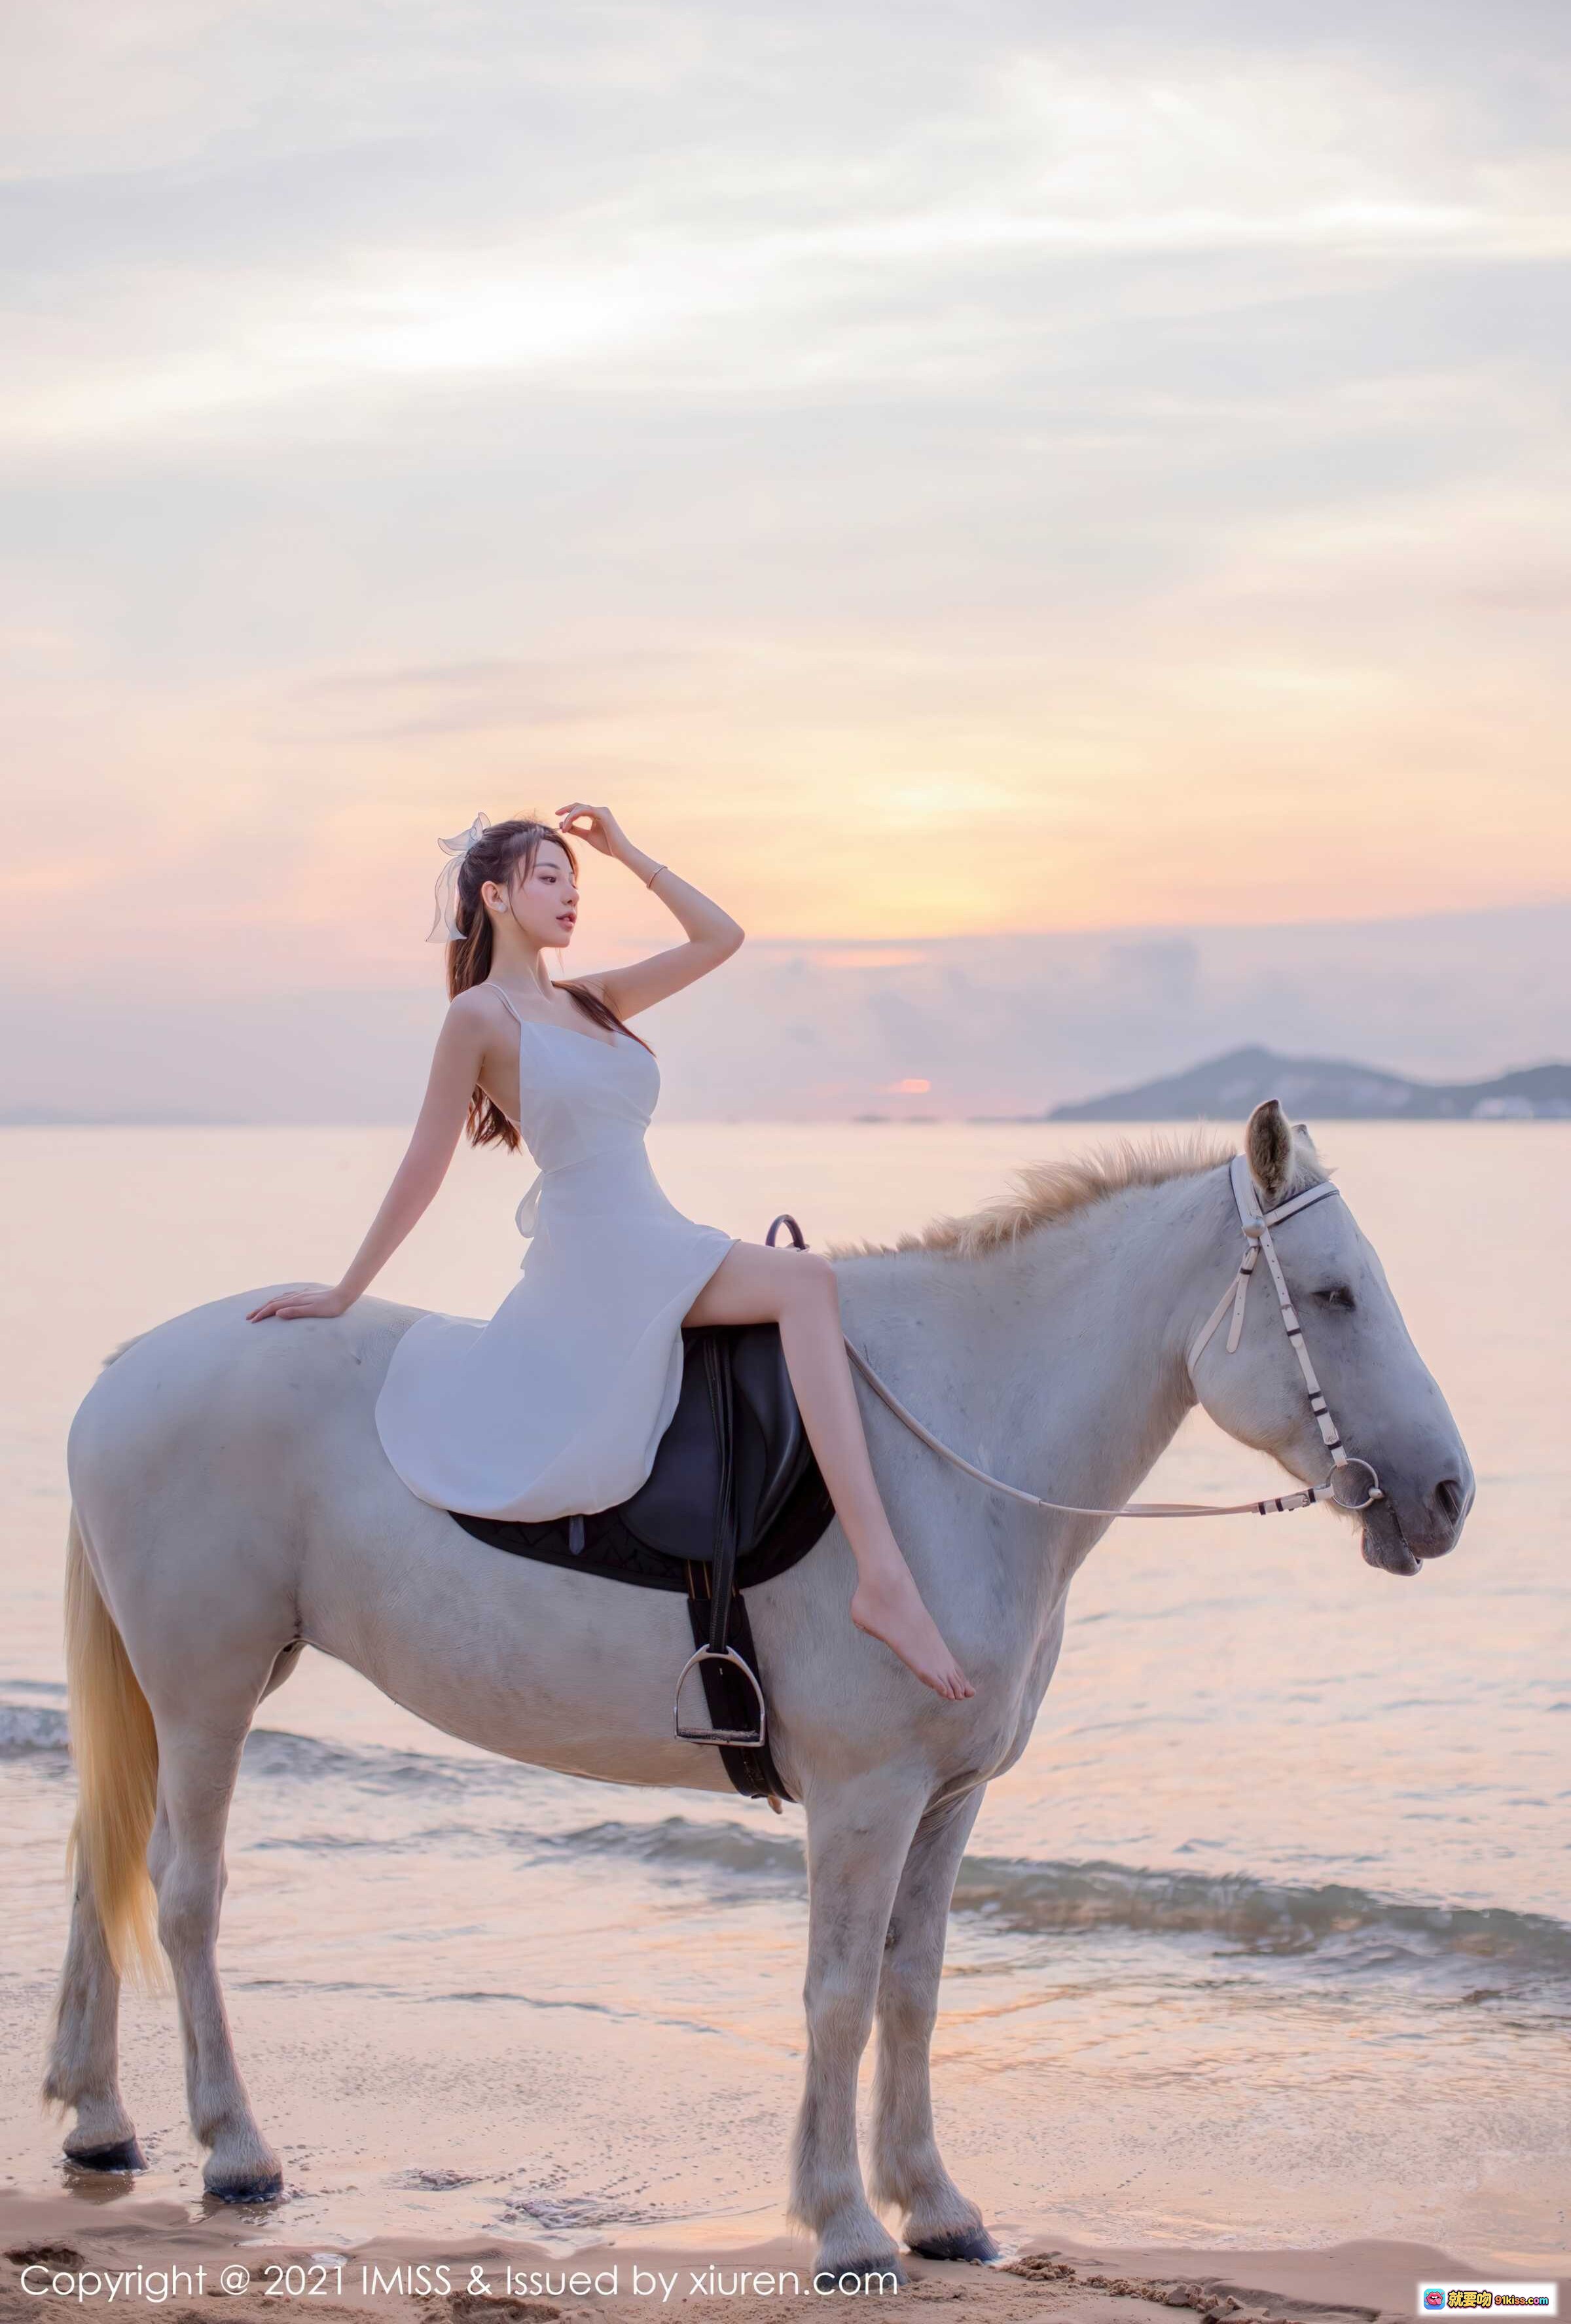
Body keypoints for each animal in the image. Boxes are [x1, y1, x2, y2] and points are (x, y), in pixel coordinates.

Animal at [42, 1101, 1473, 2285]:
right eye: (1335, 1294)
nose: (1449, 1493)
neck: (947, 1443)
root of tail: (123, 1371)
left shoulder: (947, 1799)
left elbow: (912, 1987)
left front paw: (934, 2203)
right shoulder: (865, 1795)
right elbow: (836, 1994)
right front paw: (844, 2223)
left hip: (178, 1694)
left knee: (104, 1864)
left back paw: (102, 2121)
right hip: (208, 1691)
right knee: (182, 1893)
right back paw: (234, 2146)